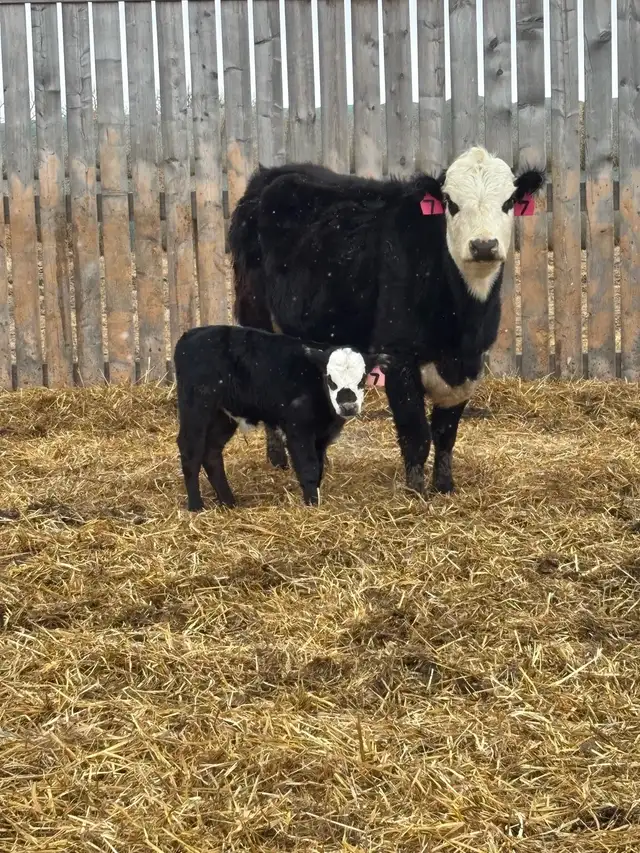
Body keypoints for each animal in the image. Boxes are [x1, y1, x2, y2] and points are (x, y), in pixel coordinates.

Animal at [229, 146, 545, 496]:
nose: (484, 245)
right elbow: (416, 433)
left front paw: (444, 485)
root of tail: (268, 175)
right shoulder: (398, 356)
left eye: (509, 201)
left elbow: (445, 433)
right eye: (450, 202)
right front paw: (417, 491)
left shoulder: (470, 362)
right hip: (254, 311)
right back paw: (277, 457)